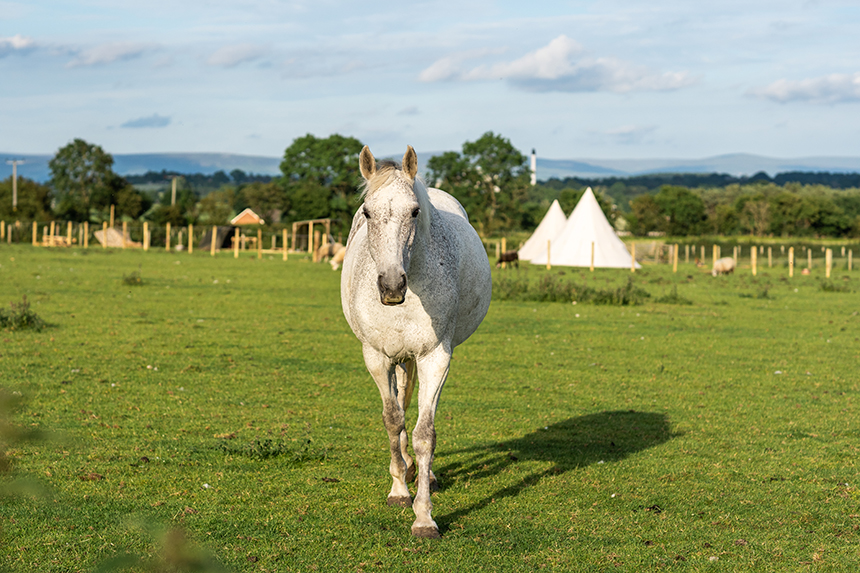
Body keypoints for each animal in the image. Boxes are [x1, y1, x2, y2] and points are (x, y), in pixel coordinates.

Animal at [340, 144, 490, 536]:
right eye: (367, 212)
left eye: (414, 211)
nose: (392, 286)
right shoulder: (376, 357)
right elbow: (393, 419)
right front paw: (398, 489)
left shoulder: (435, 356)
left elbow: (425, 433)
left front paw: (424, 516)